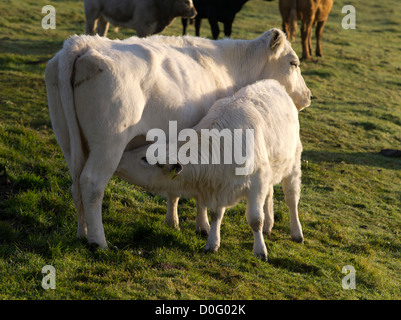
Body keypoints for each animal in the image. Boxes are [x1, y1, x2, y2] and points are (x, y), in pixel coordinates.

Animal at [44, 28, 312, 249]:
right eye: (293, 63)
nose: (308, 95)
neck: (228, 66)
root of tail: (80, 44)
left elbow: (177, 188)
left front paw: (173, 221)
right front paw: (203, 225)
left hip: (68, 141)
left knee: (76, 184)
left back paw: (82, 232)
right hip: (108, 146)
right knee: (92, 184)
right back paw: (98, 241)